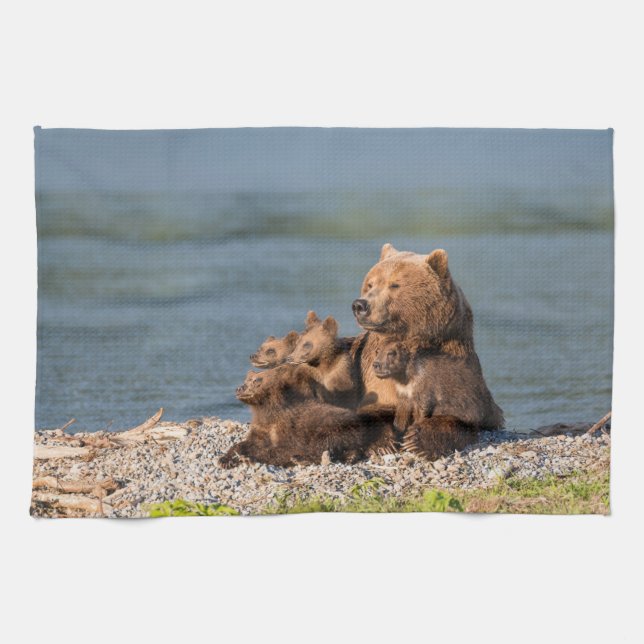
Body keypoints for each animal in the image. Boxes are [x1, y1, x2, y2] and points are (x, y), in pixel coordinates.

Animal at [219, 367, 397, 468]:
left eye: (257, 380)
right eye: (246, 379)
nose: (240, 388)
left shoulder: (288, 426)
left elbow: (285, 448)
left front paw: (249, 457)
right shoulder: (262, 427)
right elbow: (247, 442)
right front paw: (225, 459)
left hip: (337, 427)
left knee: (323, 445)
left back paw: (300, 458)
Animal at [351, 243, 503, 459]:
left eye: (394, 285)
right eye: (370, 284)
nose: (360, 304)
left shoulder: (455, 367)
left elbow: (459, 414)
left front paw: (417, 440)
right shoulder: (373, 374)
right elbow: (375, 407)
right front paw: (384, 443)